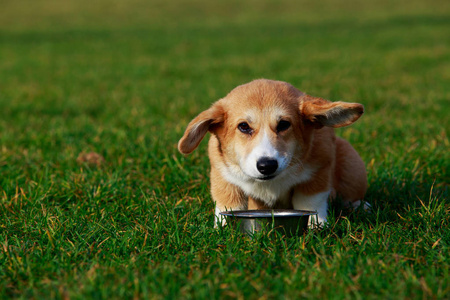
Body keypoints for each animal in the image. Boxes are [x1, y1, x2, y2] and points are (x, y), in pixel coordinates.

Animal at [178, 79, 368, 225]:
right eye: (244, 126)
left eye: (284, 124)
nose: (266, 165)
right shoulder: (224, 176)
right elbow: (229, 204)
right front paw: (222, 228)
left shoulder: (318, 171)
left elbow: (310, 203)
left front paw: (317, 226)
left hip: (353, 167)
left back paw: (360, 206)